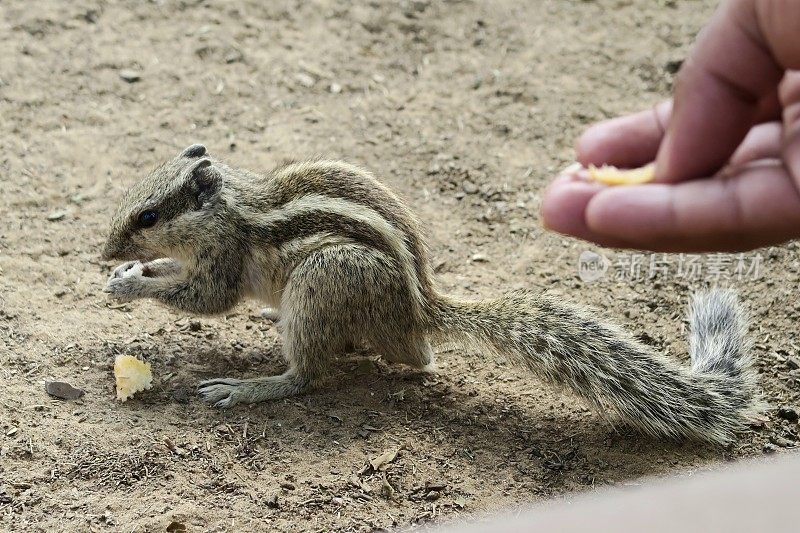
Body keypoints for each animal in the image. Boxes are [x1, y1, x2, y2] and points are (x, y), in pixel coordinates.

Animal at [103, 143, 760, 442]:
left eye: (148, 215)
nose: (104, 251)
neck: (228, 210)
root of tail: (421, 308)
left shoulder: (225, 261)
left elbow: (204, 299)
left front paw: (129, 282)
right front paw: (129, 273)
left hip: (325, 278)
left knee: (310, 375)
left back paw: (249, 387)